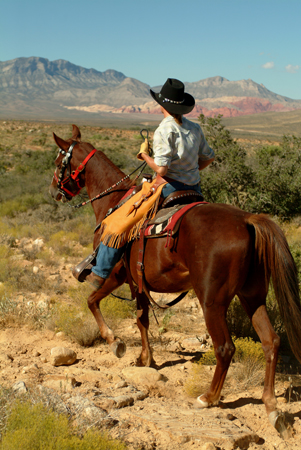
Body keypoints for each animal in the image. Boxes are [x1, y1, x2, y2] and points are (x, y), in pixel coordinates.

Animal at [49, 124, 301, 432]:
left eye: (59, 160)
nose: (54, 190)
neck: (114, 202)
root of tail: (247, 220)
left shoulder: (117, 274)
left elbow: (93, 300)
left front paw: (115, 342)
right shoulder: (138, 283)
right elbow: (142, 319)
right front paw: (145, 358)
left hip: (212, 301)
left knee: (225, 347)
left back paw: (209, 397)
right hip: (253, 295)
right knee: (271, 341)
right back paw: (271, 406)